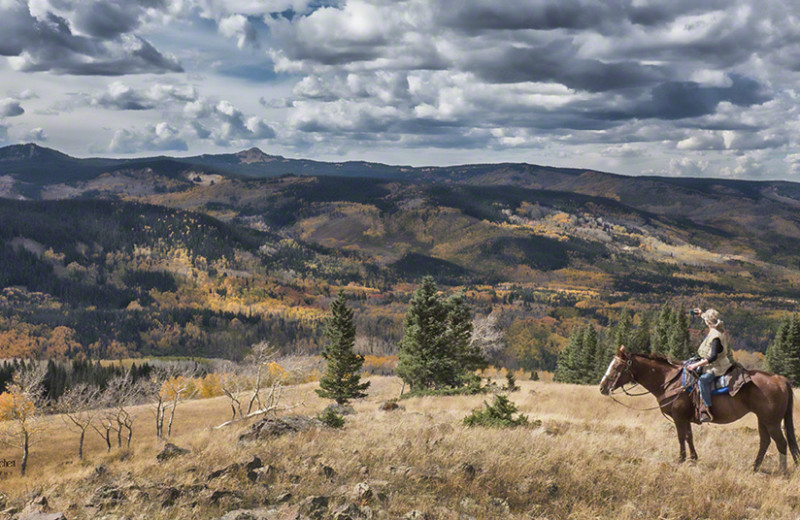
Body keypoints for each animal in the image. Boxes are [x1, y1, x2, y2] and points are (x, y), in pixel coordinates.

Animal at [600, 346, 800, 472]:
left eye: (617, 366)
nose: (602, 387)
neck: (669, 381)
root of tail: (780, 380)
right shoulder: (685, 418)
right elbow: (689, 437)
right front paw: (693, 458)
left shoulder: (679, 418)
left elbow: (681, 437)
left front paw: (681, 459)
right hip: (762, 419)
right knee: (765, 441)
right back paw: (754, 467)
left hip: (772, 421)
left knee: (781, 443)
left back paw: (781, 471)